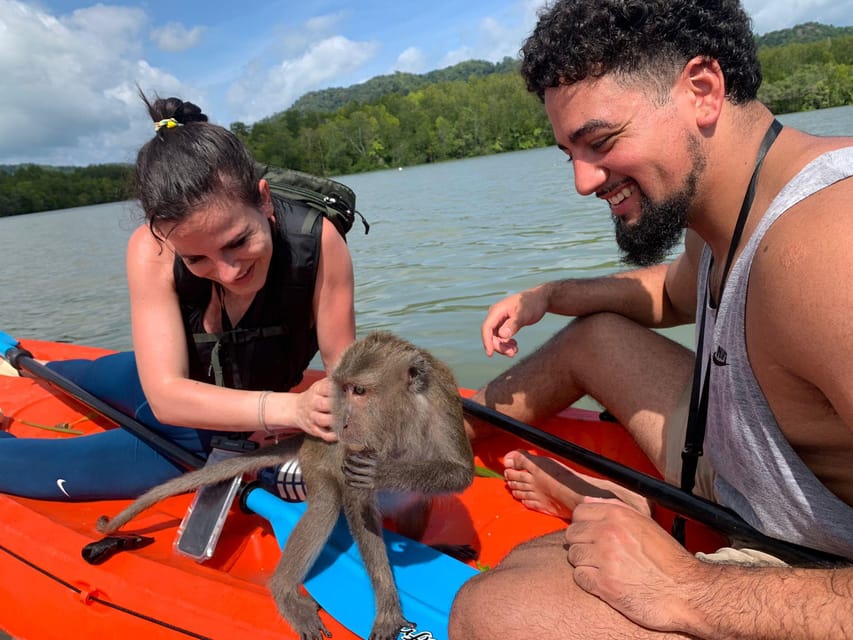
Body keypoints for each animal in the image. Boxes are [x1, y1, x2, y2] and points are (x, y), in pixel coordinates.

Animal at [97, 331, 475, 640]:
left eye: (360, 391)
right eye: (343, 391)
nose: (343, 423)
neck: (402, 417)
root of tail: (307, 438)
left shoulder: (442, 399)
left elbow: (459, 472)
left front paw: (383, 470)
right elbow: (357, 503)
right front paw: (388, 608)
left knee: (417, 500)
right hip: (315, 462)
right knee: (327, 504)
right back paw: (285, 591)